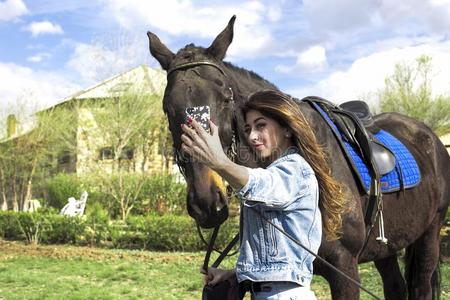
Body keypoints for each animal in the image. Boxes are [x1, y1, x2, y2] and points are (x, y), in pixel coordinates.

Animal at [147, 17, 450, 300]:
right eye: (167, 107)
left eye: (225, 98)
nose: (206, 202)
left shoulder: (346, 271)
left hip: (429, 236)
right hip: (386, 247)